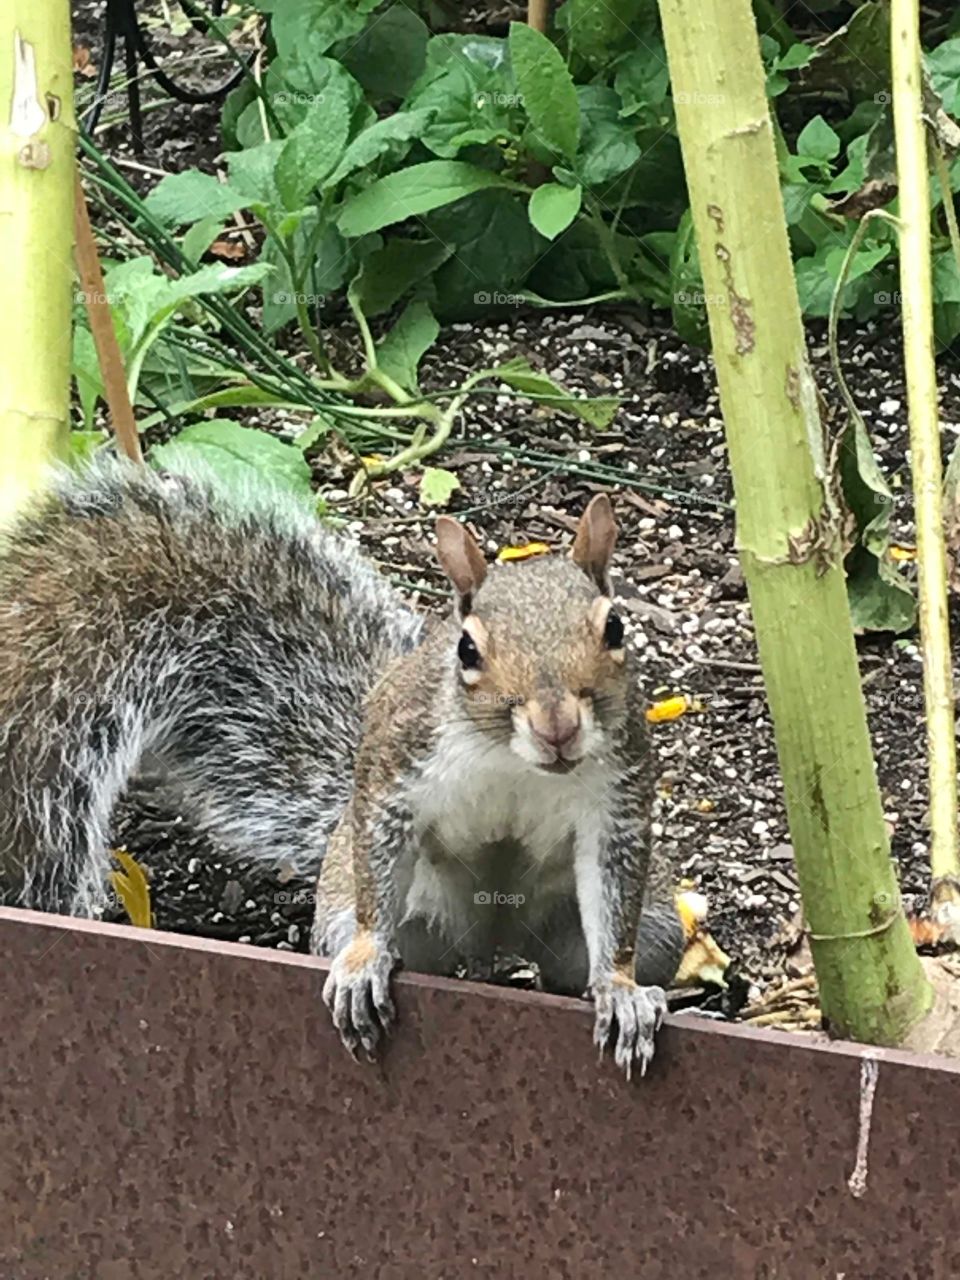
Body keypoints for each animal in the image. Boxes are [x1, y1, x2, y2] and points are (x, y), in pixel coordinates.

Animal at [0, 458, 683, 1076]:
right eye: (467, 649)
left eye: (615, 628)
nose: (557, 727)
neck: (514, 763)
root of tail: (492, 948)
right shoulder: (394, 777)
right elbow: (378, 868)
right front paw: (364, 962)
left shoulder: (615, 805)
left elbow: (613, 894)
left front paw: (620, 990)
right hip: (387, 917)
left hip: (653, 934)